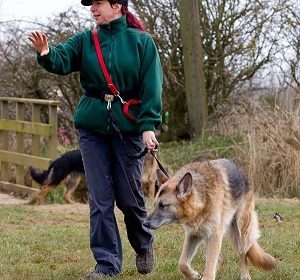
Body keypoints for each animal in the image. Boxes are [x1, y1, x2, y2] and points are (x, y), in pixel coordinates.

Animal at [145, 159, 276, 278]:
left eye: (163, 206)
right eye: (155, 204)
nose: (145, 223)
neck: (202, 200)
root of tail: (242, 174)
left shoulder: (214, 235)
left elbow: (209, 268)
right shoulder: (193, 234)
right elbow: (182, 264)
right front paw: (193, 275)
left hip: (240, 233)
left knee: (242, 254)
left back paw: (244, 275)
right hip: (207, 237)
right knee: (219, 259)